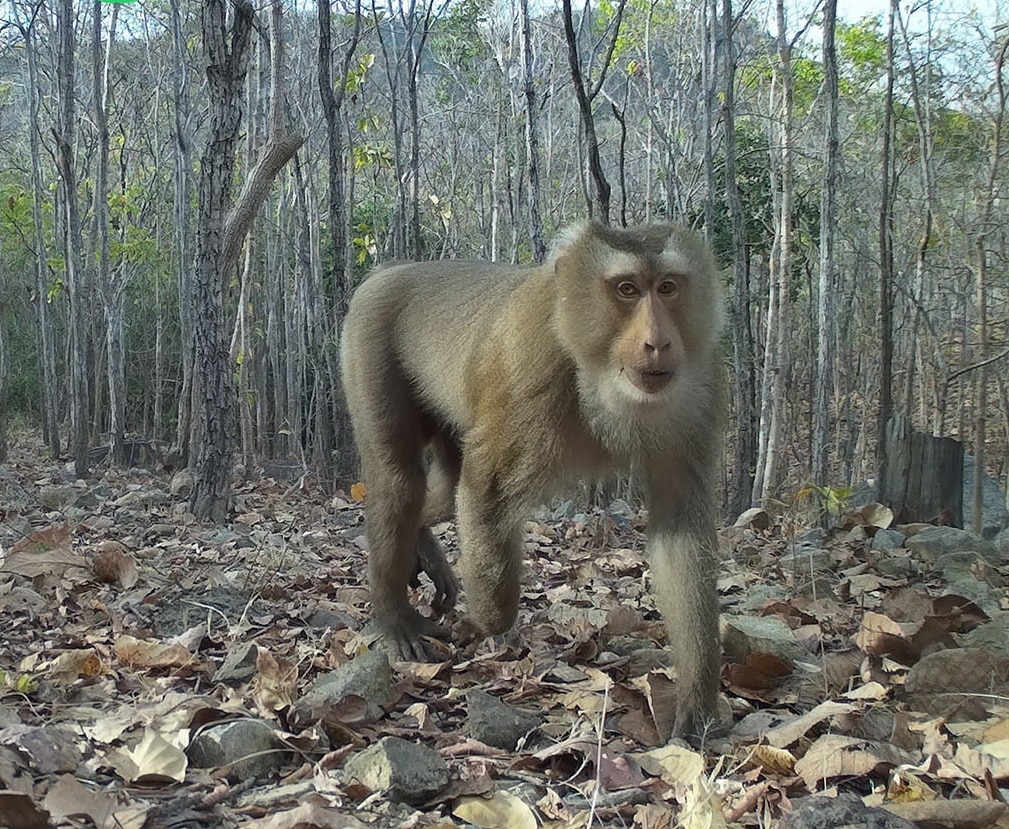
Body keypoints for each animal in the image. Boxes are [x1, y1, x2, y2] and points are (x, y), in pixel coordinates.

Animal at [339, 220, 726, 738]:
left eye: (667, 287)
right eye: (626, 289)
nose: (658, 342)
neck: (597, 370)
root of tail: (394, 269)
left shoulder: (698, 388)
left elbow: (680, 528)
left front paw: (698, 697)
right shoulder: (531, 365)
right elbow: (488, 491)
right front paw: (486, 623)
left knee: (443, 486)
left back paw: (422, 542)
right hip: (368, 336)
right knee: (400, 482)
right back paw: (393, 617)